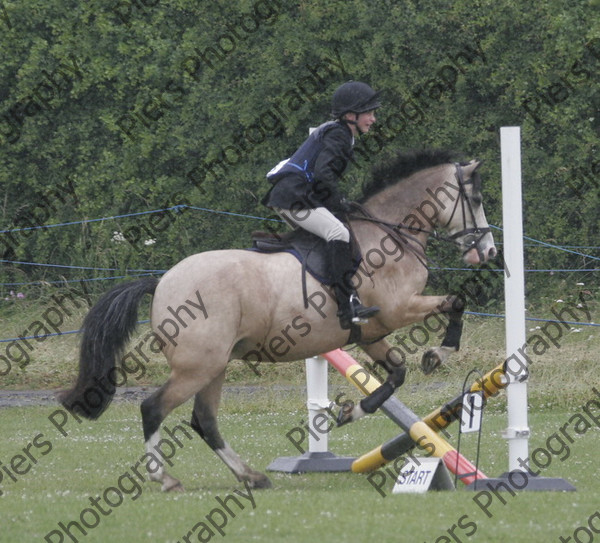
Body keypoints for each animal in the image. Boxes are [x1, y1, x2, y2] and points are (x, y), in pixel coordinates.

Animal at [59, 149, 496, 492]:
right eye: (475, 198)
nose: (489, 252)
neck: (390, 235)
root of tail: (162, 281)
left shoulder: (371, 332)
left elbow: (396, 374)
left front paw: (351, 411)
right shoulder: (397, 309)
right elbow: (455, 303)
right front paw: (439, 353)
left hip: (214, 366)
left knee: (205, 421)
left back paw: (251, 476)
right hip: (197, 366)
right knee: (153, 409)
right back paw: (165, 479)